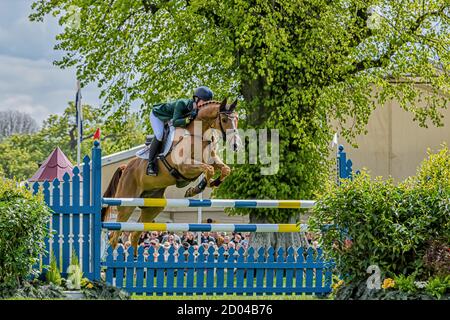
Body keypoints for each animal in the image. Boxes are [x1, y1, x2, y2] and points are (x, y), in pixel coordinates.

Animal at [103, 99, 243, 251]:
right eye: (224, 119)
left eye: (237, 119)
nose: (236, 146)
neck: (198, 135)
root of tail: (125, 167)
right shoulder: (183, 167)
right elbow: (208, 169)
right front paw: (196, 189)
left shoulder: (211, 160)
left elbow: (224, 169)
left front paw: (213, 183)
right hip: (126, 204)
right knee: (114, 238)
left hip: (152, 207)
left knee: (134, 236)